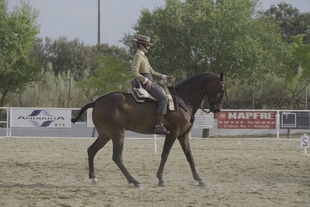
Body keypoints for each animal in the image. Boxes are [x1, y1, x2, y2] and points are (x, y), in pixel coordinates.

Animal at [71, 72, 226, 188]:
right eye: (221, 89)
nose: (217, 109)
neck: (182, 100)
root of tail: (97, 102)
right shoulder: (173, 134)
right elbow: (165, 155)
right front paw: (161, 180)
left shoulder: (183, 135)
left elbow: (190, 156)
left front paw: (199, 179)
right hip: (117, 134)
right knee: (117, 157)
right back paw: (134, 181)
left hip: (105, 135)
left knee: (91, 150)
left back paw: (94, 178)